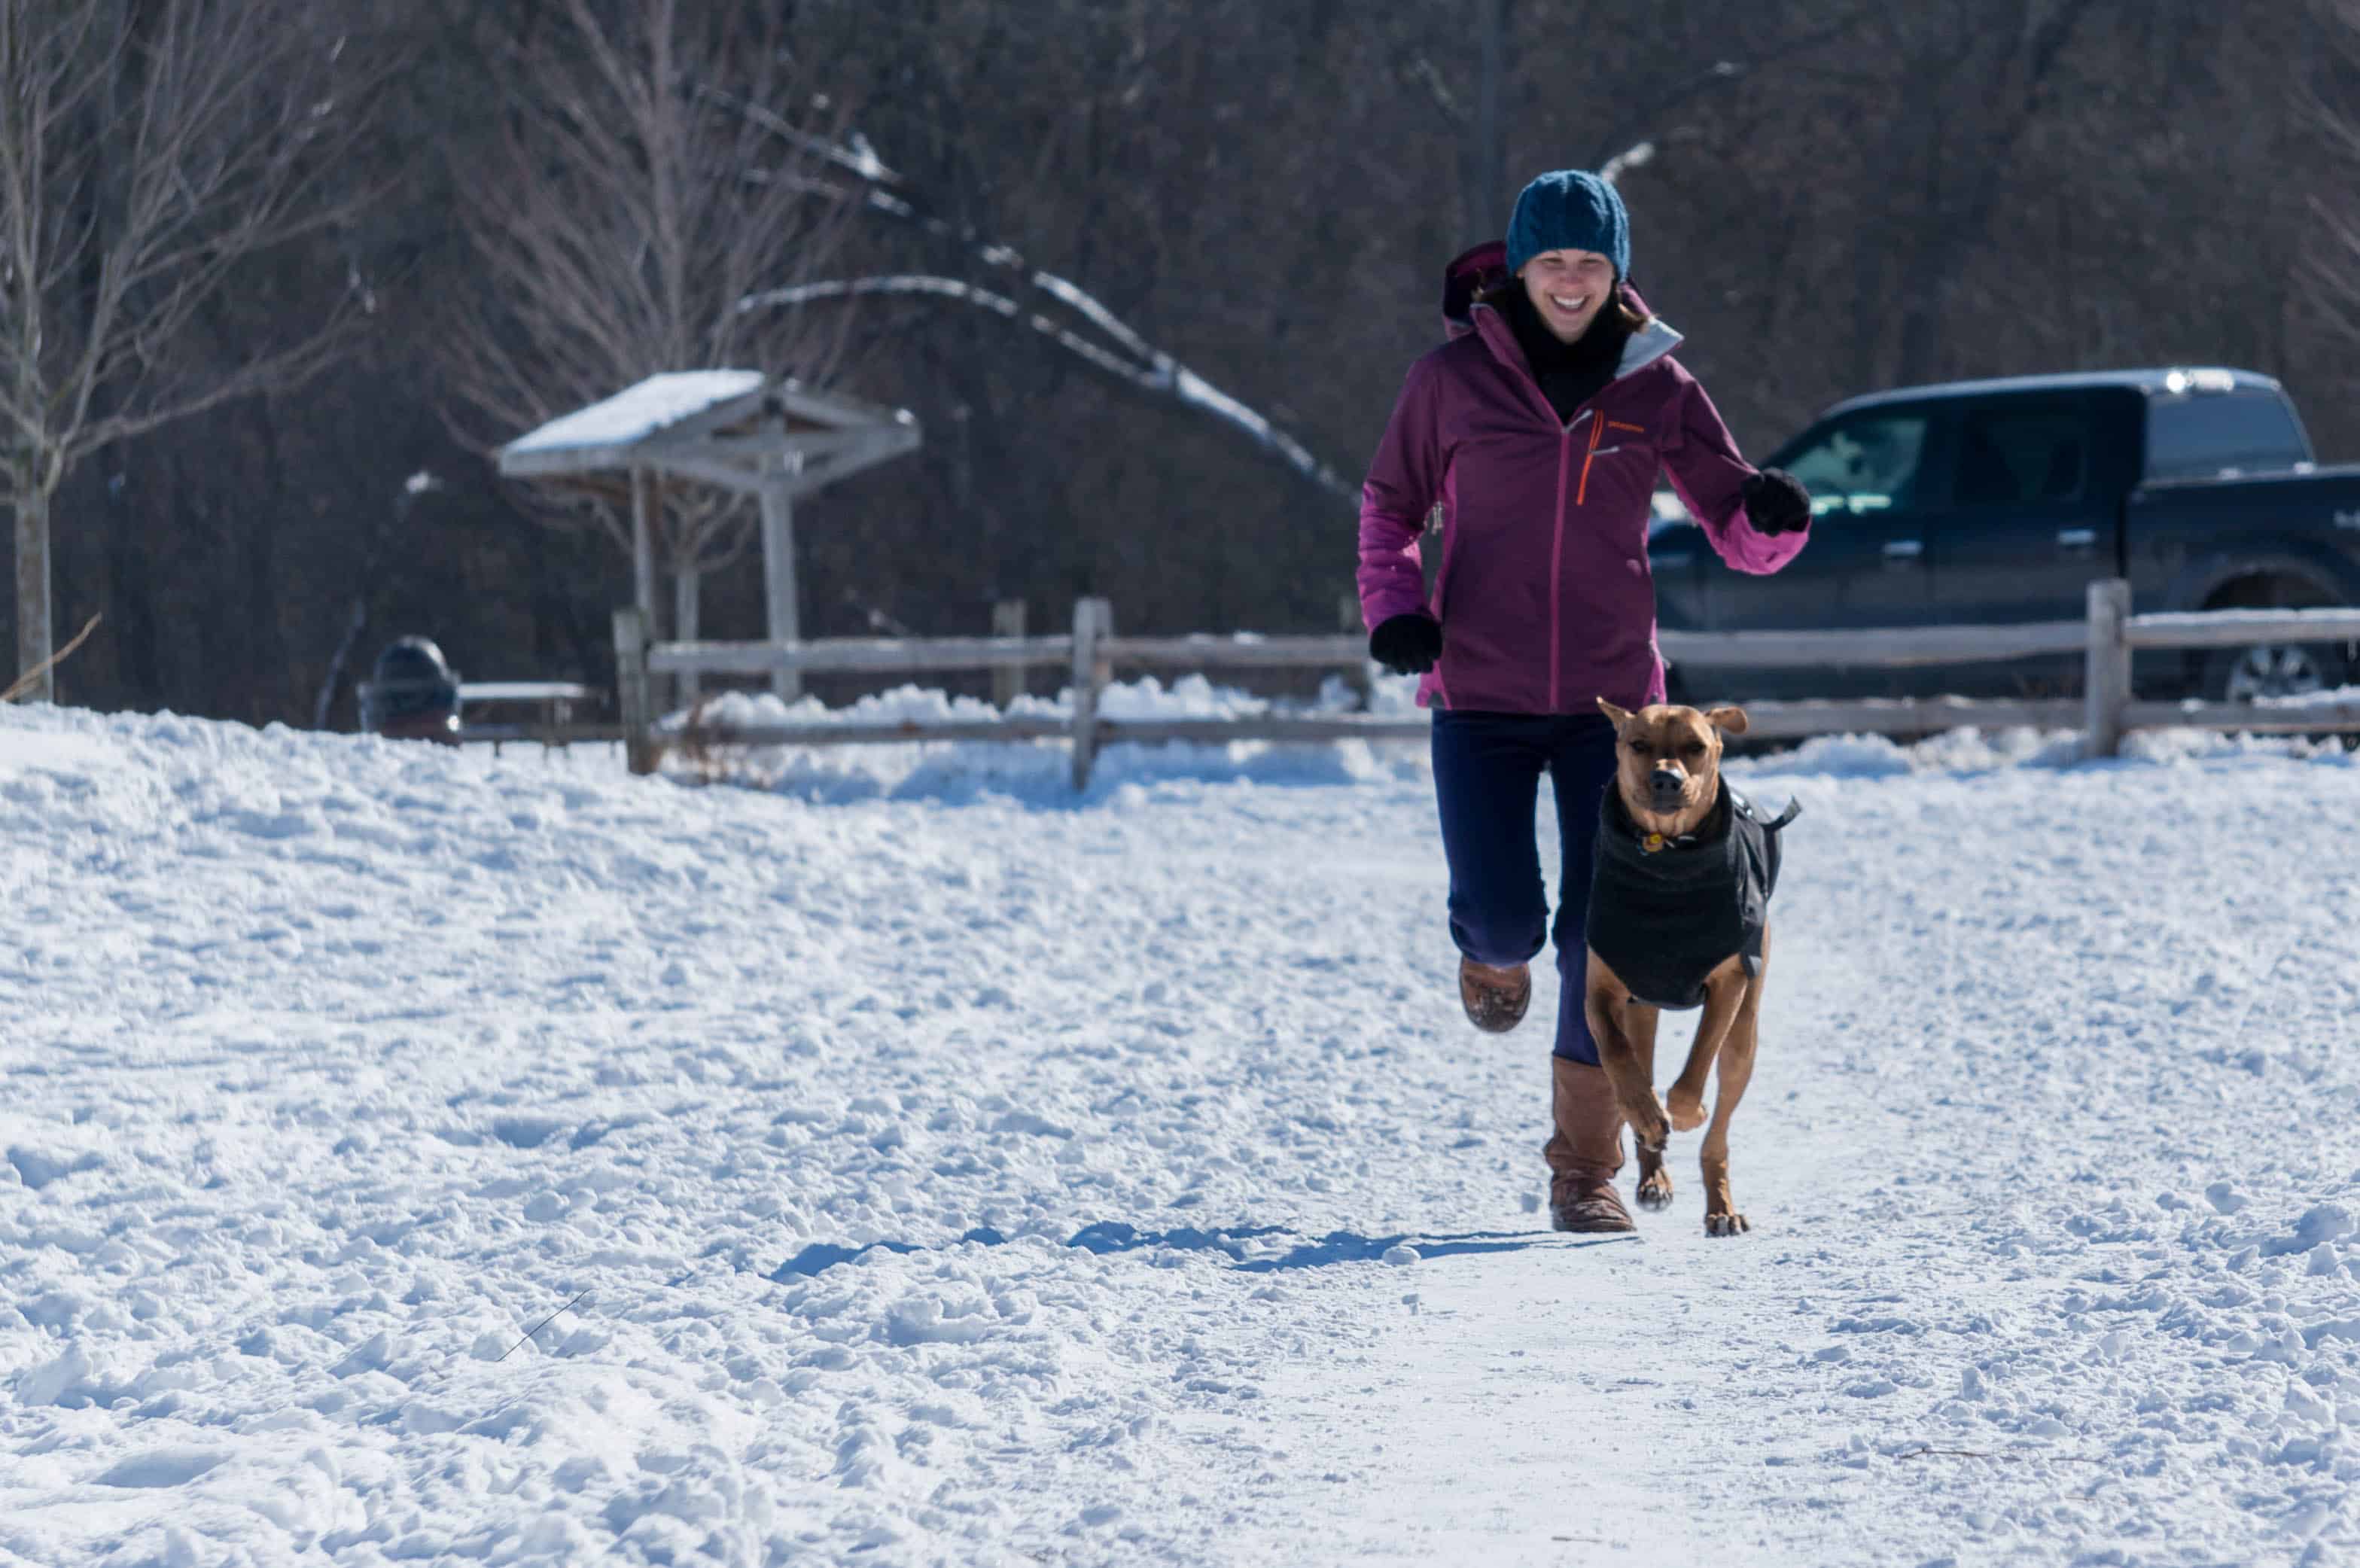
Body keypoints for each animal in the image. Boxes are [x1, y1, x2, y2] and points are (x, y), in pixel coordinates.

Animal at [1585, 699, 1784, 1237]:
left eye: (1696, 746)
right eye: (1638, 744)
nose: (1666, 779)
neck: (1666, 856)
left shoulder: (1730, 979)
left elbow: (1699, 1059)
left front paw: (1686, 1109)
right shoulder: (1600, 986)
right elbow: (1615, 1053)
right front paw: (1645, 1115)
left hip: (1748, 1032)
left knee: (1721, 1119)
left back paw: (1721, 1207)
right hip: (1643, 1011)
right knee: (1639, 1060)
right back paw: (1653, 1169)